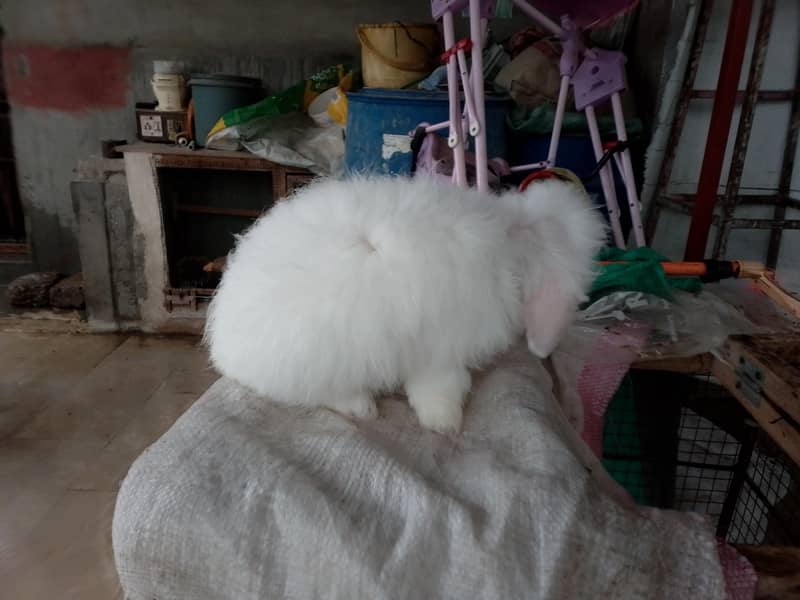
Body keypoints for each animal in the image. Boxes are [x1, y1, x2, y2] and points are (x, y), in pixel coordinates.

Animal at [205, 175, 606, 433]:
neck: (510, 245)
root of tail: (224, 349)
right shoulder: (441, 351)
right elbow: (439, 388)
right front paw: (444, 423)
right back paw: (362, 408)